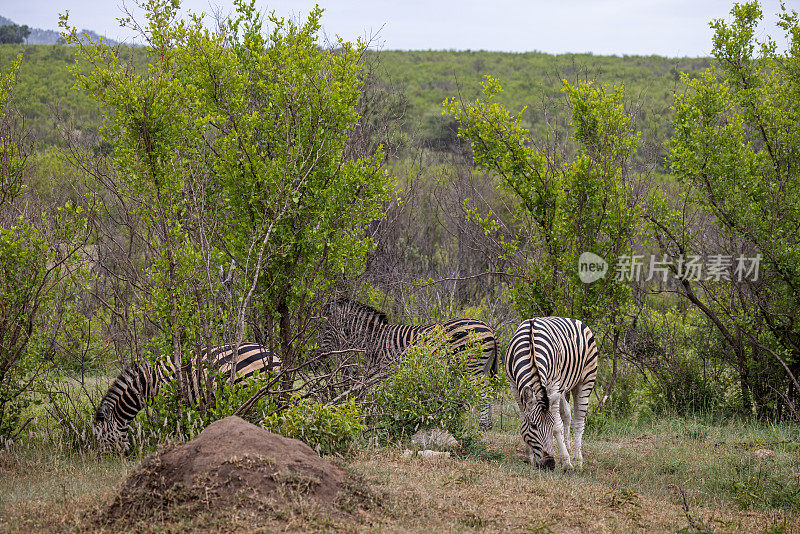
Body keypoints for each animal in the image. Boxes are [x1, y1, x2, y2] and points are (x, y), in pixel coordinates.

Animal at [95, 344, 278, 452]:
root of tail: (274, 355)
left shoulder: (168, 400)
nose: (102, 460)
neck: (146, 385)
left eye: (102, 436)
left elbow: (172, 427)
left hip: (250, 389)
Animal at [320, 302, 496, 432]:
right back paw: (488, 425)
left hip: (471, 367)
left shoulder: (388, 371)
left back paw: (483, 426)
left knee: (483, 393)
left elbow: (388, 396)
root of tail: (489, 328)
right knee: (489, 391)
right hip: (483, 368)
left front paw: (390, 419)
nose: (320, 354)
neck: (377, 339)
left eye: (327, 328)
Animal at [506, 318, 592, 474]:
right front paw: (529, 457)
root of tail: (575, 320)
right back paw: (568, 447)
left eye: (550, 426)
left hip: (585, 381)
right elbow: (523, 418)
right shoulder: (514, 386)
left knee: (578, 422)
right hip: (562, 389)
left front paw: (566, 463)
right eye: (533, 426)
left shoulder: (553, 385)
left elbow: (558, 425)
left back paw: (577, 460)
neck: (530, 350)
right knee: (567, 413)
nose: (550, 464)